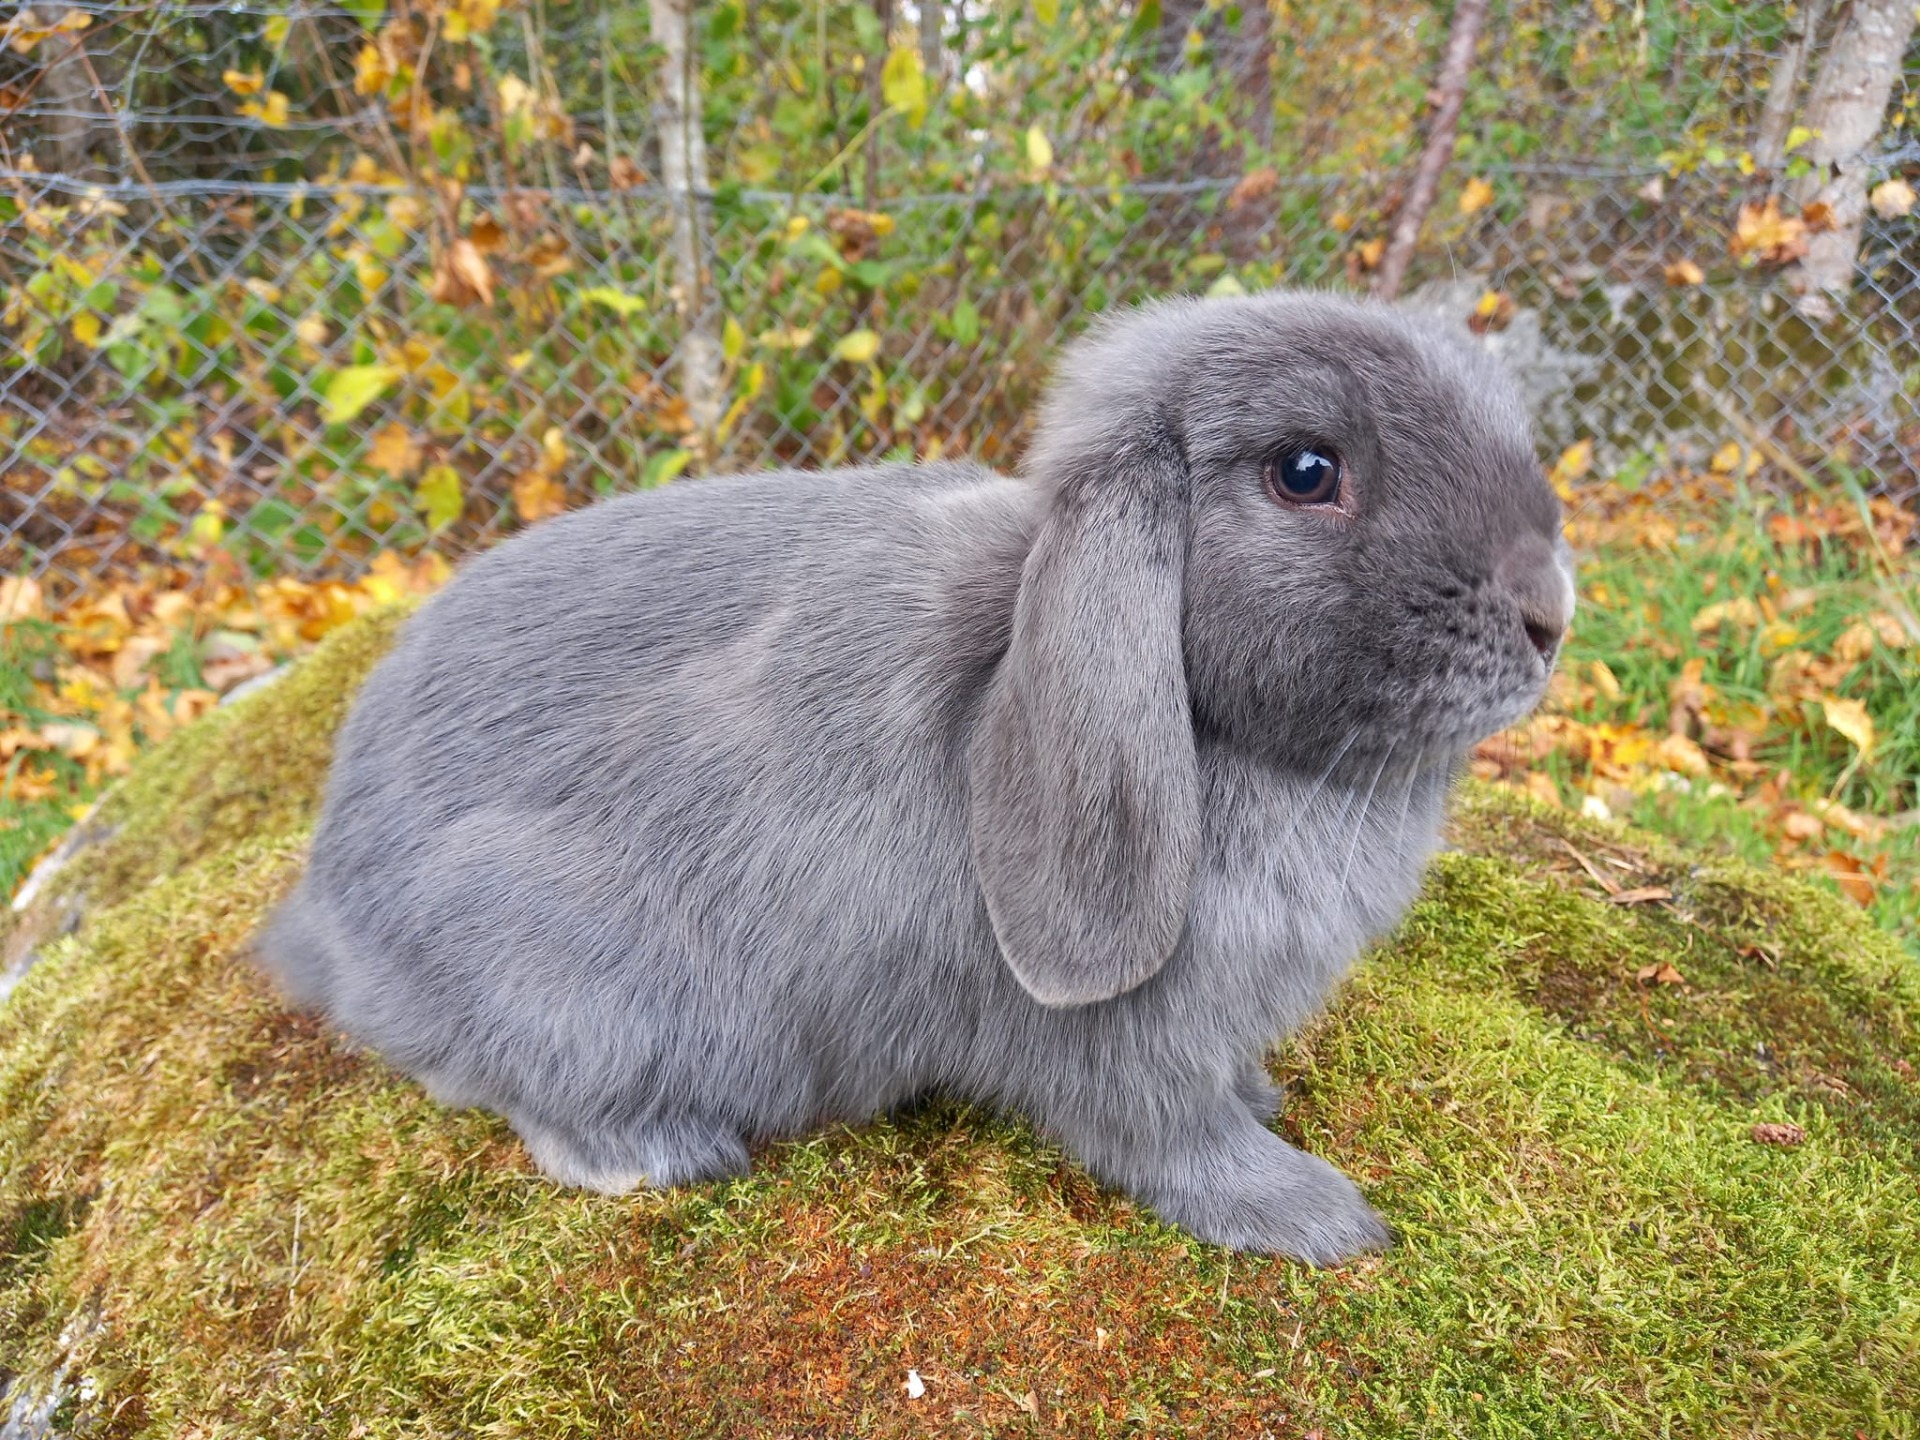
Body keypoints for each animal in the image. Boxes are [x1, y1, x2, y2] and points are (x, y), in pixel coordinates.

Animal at [259, 289, 1574, 1259]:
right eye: (1307, 471)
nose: (1552, 617)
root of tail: (332, 923)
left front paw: (1270, 1102)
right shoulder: (1130, 1055)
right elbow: (1172, 1140)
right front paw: (1318, 1217)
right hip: (561, 981)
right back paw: (655, 1154)